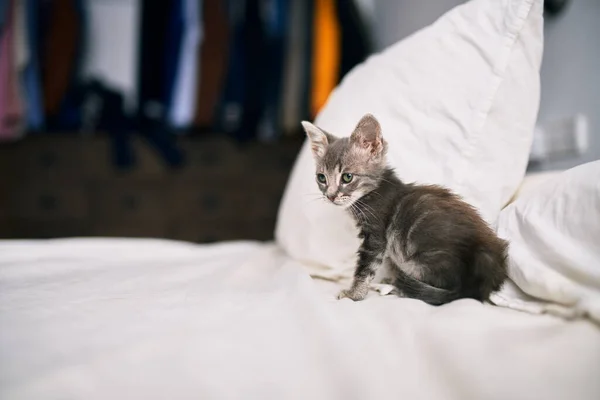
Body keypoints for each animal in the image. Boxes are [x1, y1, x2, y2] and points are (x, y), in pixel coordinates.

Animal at [300, 112, 506, 304]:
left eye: (347, 177)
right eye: (321, 178)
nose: (330, 196)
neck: (372, 192)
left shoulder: (376, 235)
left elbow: (365, 268)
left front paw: (354, 294)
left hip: (421, 259)